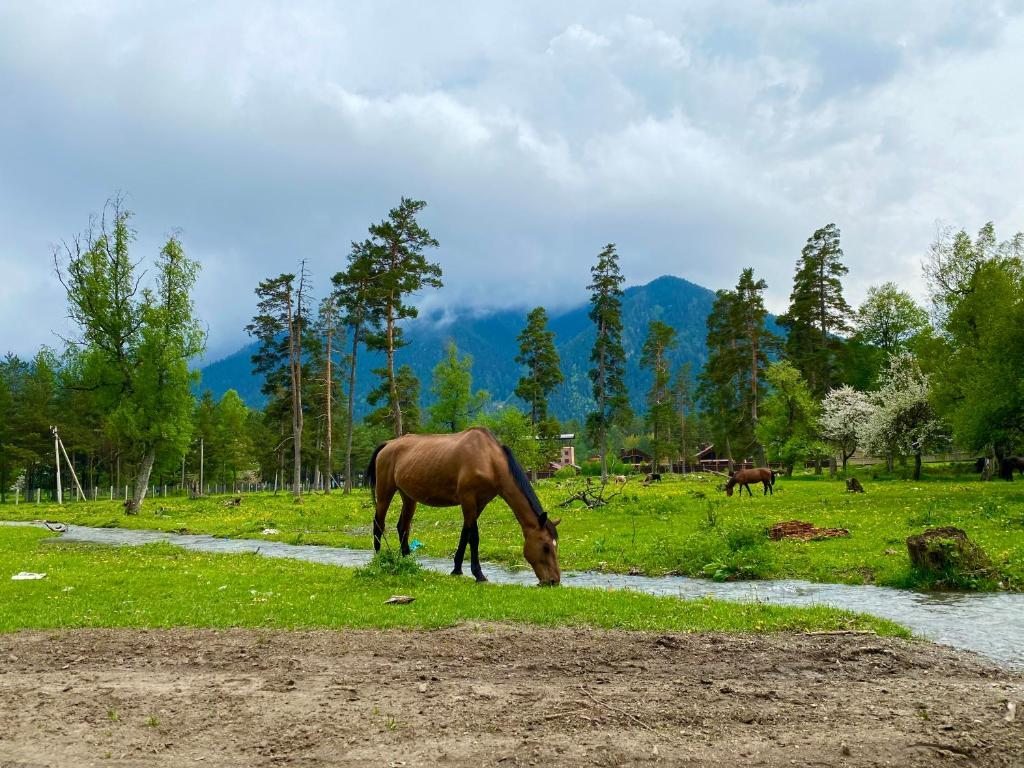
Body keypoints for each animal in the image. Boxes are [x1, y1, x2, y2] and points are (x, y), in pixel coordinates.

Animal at [366, 430, 561, 585]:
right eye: (545, 547)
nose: (554, 580)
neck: (488, 460)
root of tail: (388, 444)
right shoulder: (468, 500)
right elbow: (473, 537)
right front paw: (479, 574)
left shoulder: (480, 503)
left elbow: (465, 534)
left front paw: (457, 569)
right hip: (385, 492)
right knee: (378, 524)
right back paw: (379, 559)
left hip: (409, 497)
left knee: (403, 526)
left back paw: (408, 559)